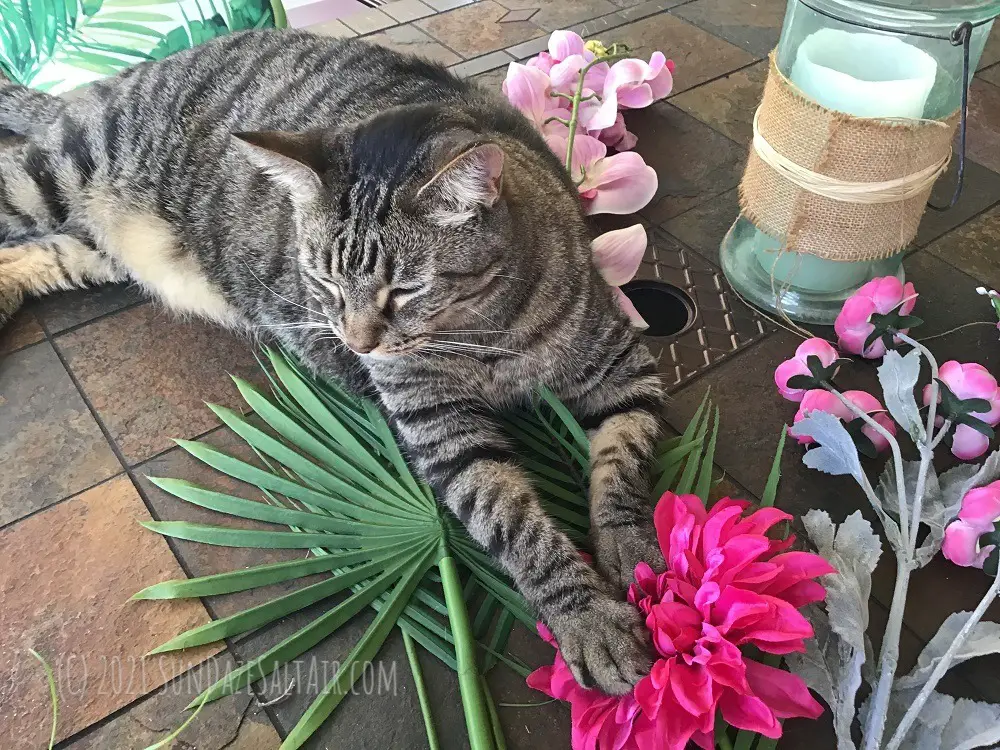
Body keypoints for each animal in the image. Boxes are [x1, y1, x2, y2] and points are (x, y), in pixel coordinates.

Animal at [1, 30, 672, 700]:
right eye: (323, 281)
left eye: (404, 291)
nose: (358, 343)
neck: (484, 337)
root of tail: (134, 73)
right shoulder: (440, 425)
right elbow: (515, 523)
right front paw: (587, 617)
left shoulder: (625, 368)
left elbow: (623, 461)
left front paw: (632, 548)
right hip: (46, 181)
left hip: (92, 245)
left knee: (33, 257)